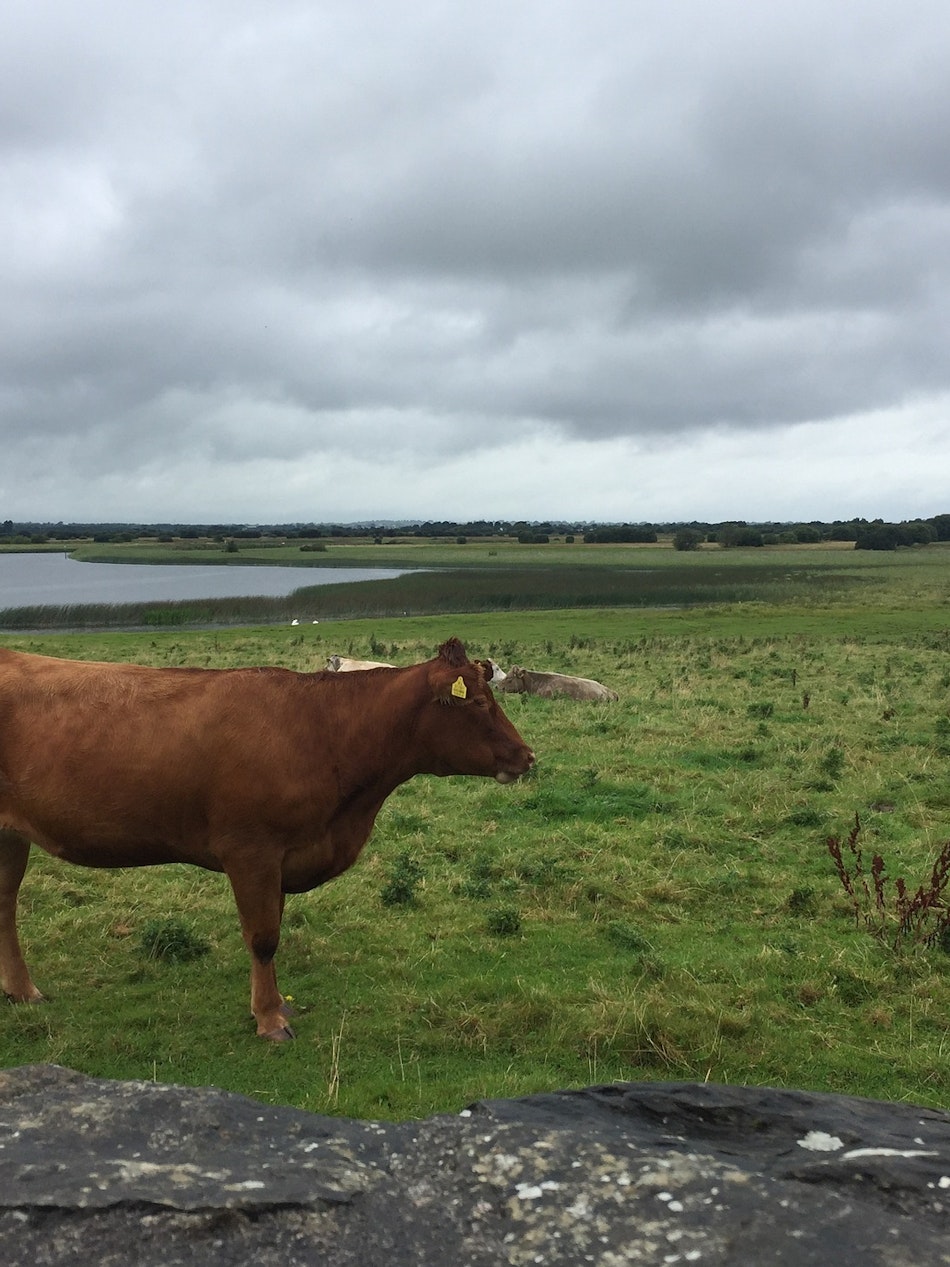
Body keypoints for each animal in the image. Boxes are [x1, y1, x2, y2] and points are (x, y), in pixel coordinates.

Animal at [0, 638, 534, 1041]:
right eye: (479, 703)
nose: (528, 756)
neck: (324, 732)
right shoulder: (251, 851)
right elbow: (263, 938)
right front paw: (269, 1019)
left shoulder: (281, 858)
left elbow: (273, 928)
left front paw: (276, 1003)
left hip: (9, 837)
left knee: (5, 906)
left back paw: (23, 991)